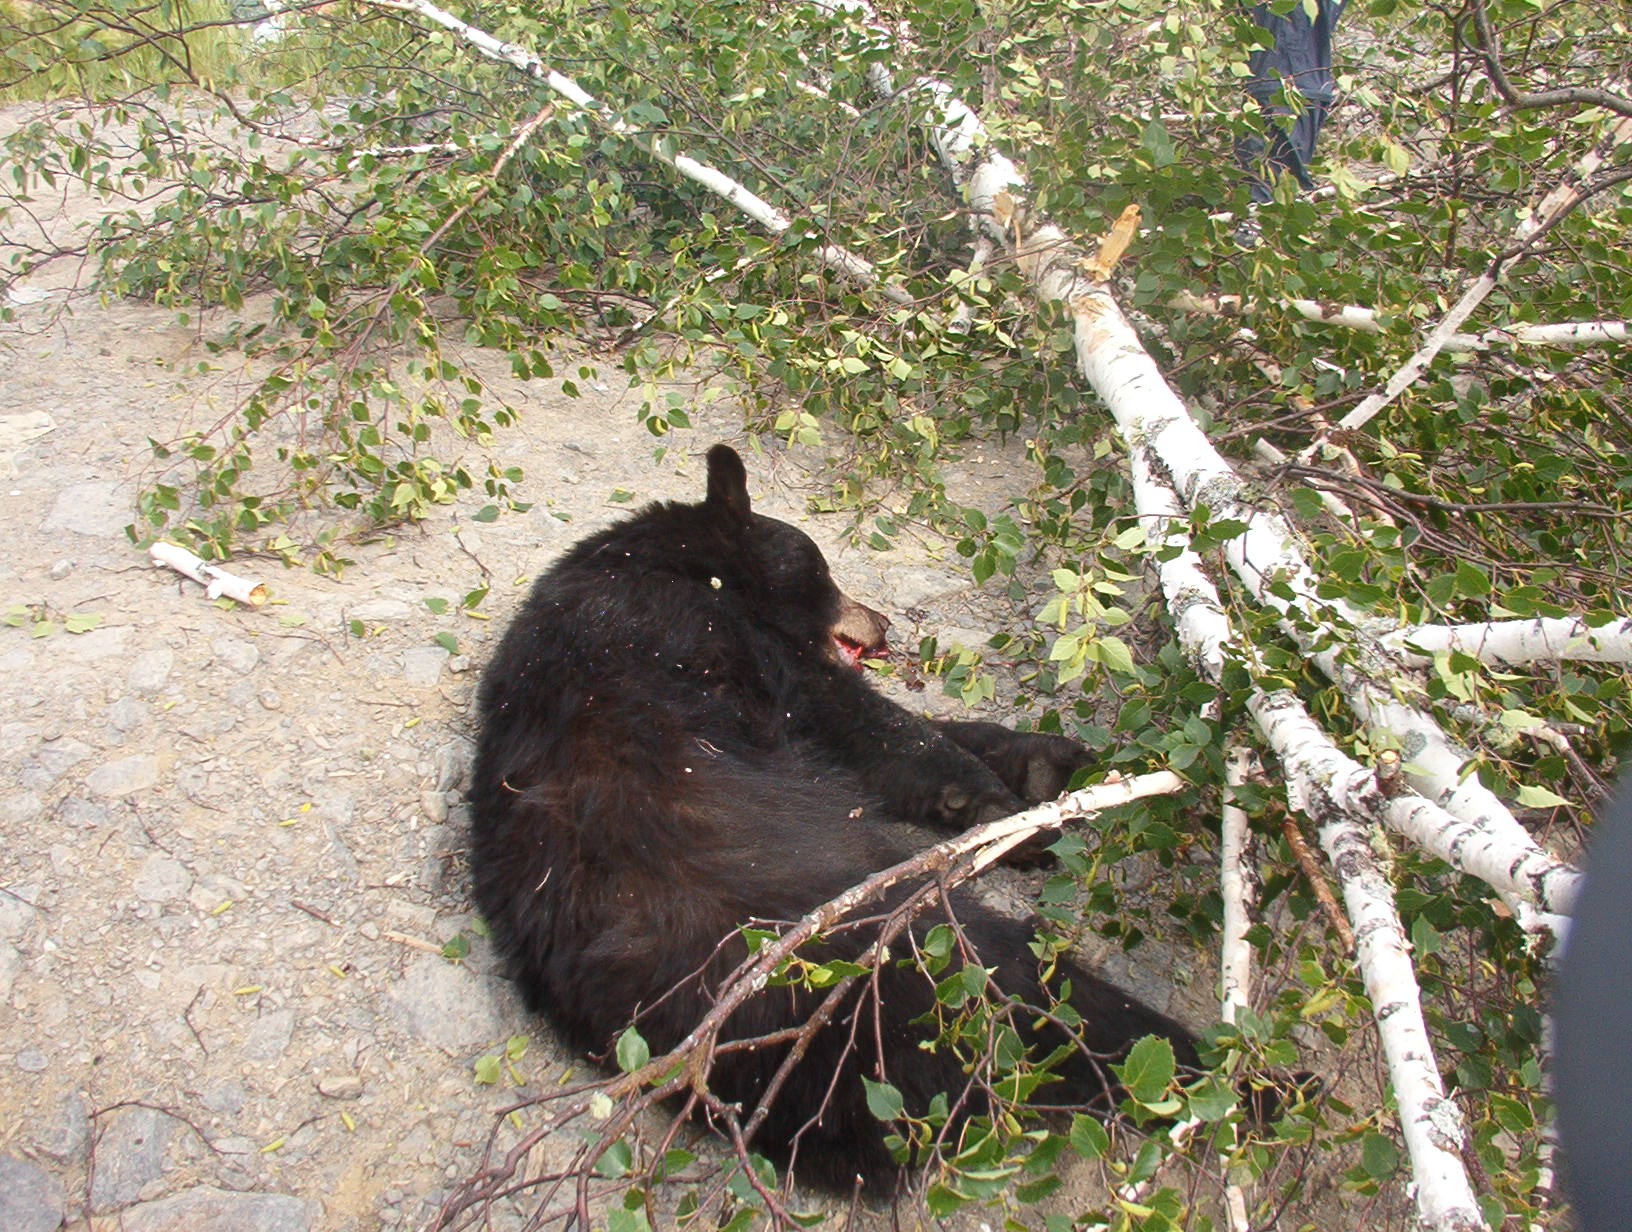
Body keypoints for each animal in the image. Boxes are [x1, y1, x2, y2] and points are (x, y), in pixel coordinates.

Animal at [469, 444, 1201, 1191]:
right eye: (822, 569)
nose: (883, 622)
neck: (667, 564)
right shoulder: (704, 632)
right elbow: (863, 719)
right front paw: (1005, 808)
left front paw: (1045, 765)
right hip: (885, 935)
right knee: (1027, 985)